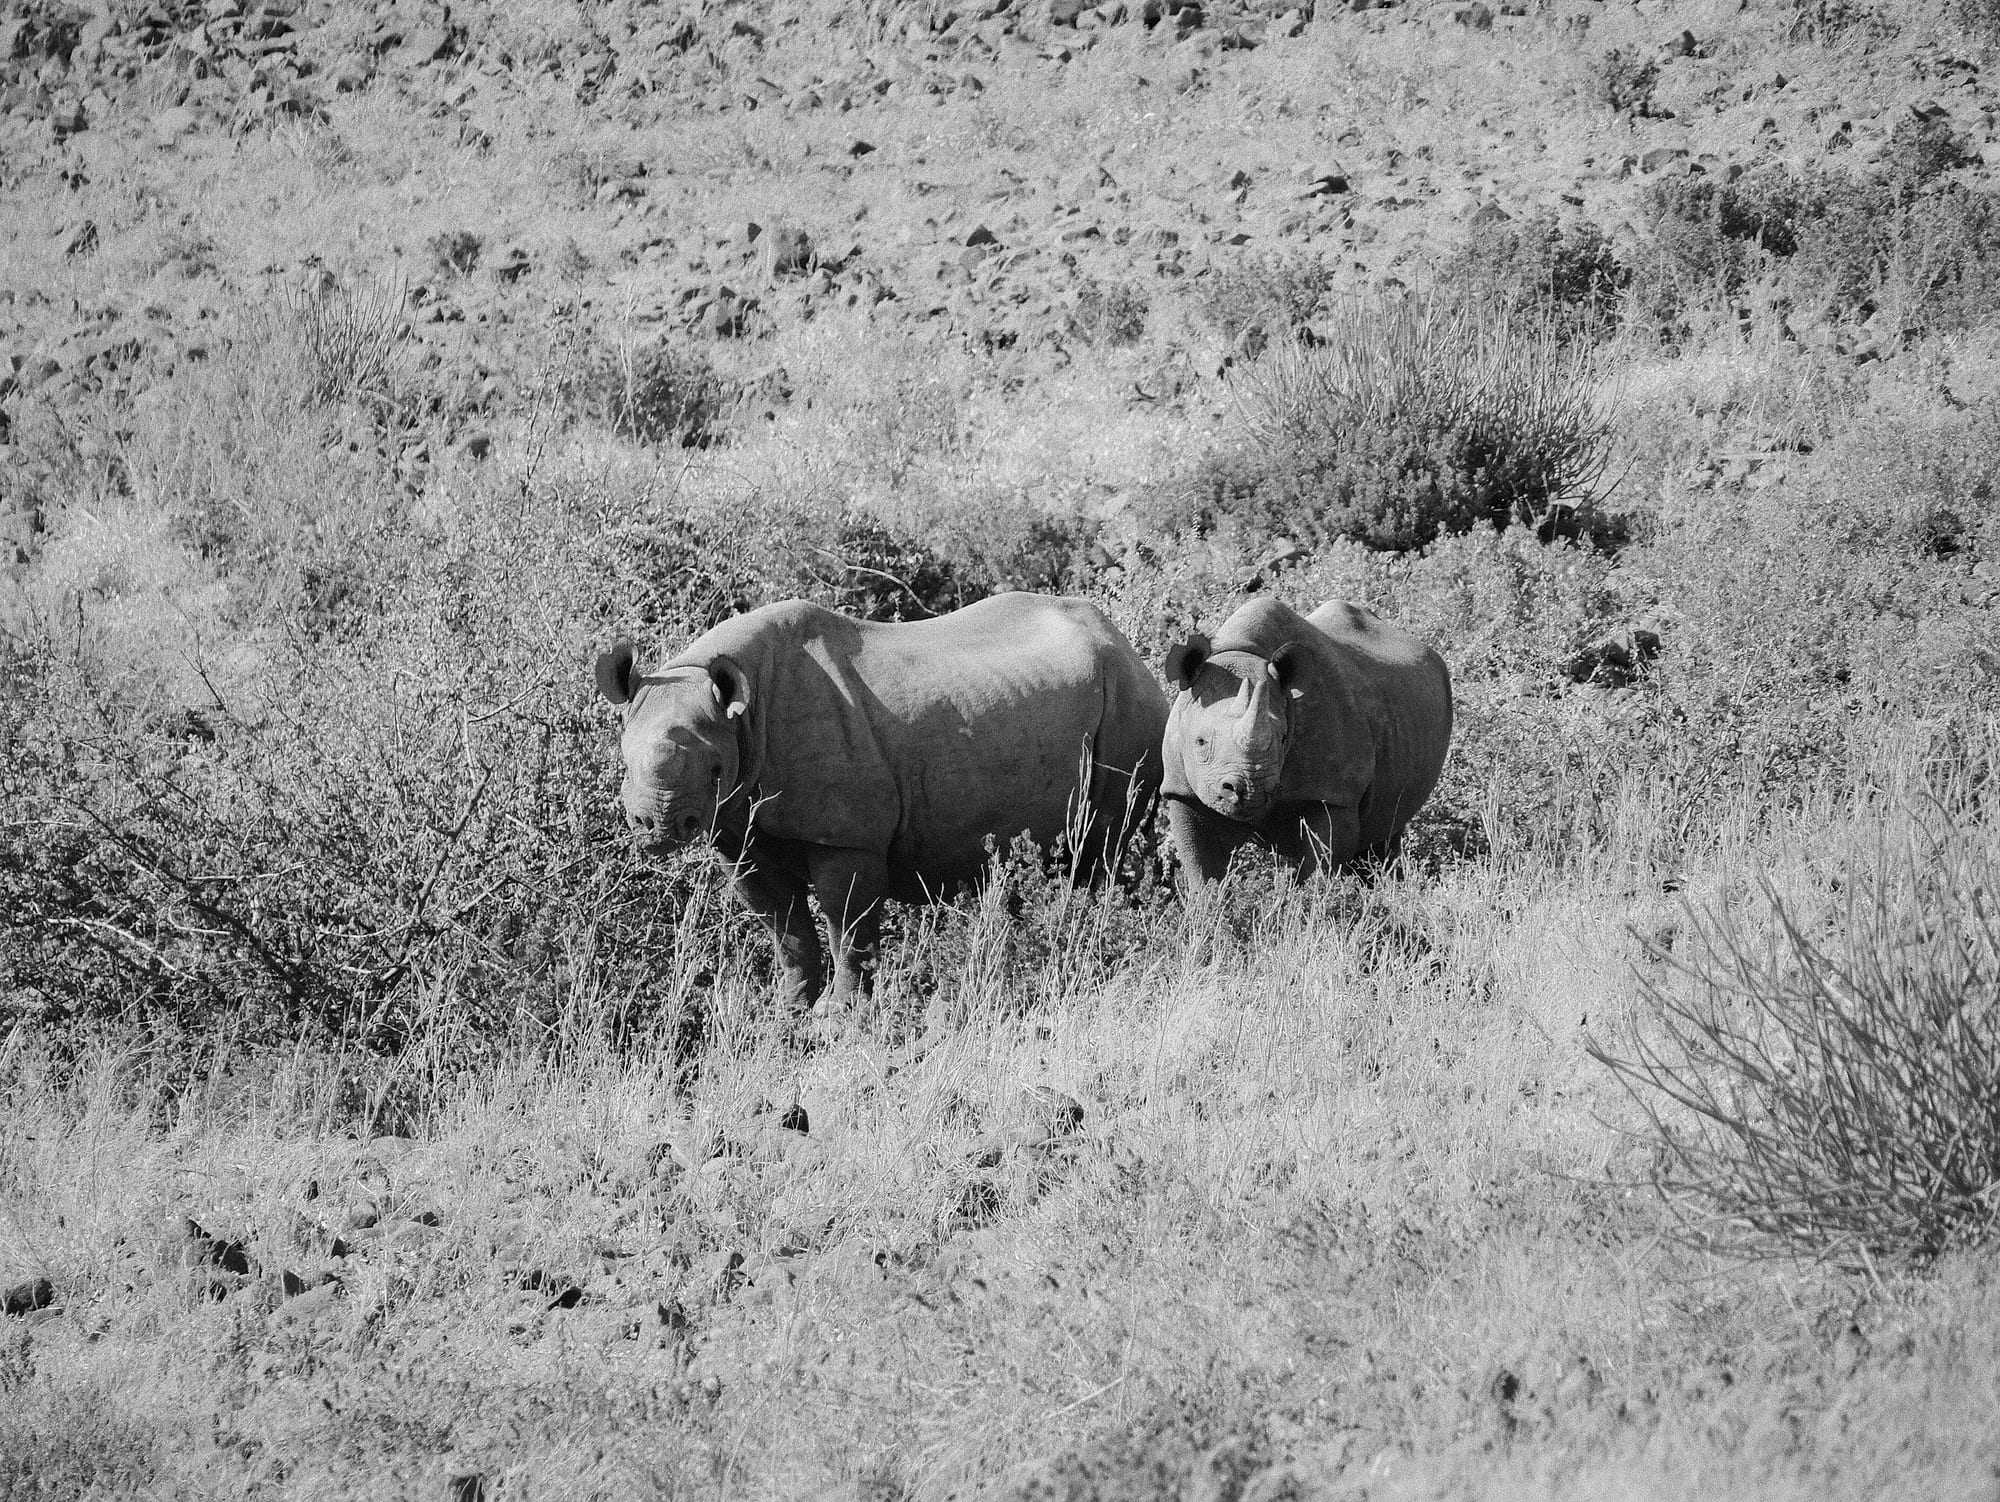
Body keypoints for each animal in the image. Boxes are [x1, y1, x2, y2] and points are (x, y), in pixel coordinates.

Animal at [594, 593, 1168, 1011]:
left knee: (1103, 849)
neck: (744, 715)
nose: (656, 826)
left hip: (1131, 704)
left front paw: (838, 1018)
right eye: (623, 759)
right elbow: (785, 926)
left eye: (716, 770)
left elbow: (845, 921)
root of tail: (1129, 647)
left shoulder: (847, 836)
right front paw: (788, 1012)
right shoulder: (738, 833)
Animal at [1160, 596, 1452, 882]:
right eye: (1200, 742)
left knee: (1385, 831)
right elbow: (1203, 867)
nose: (1251, 790)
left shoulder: (1334, 793)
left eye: (1282, 739)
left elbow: (1322, 862)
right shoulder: (1183, 790)